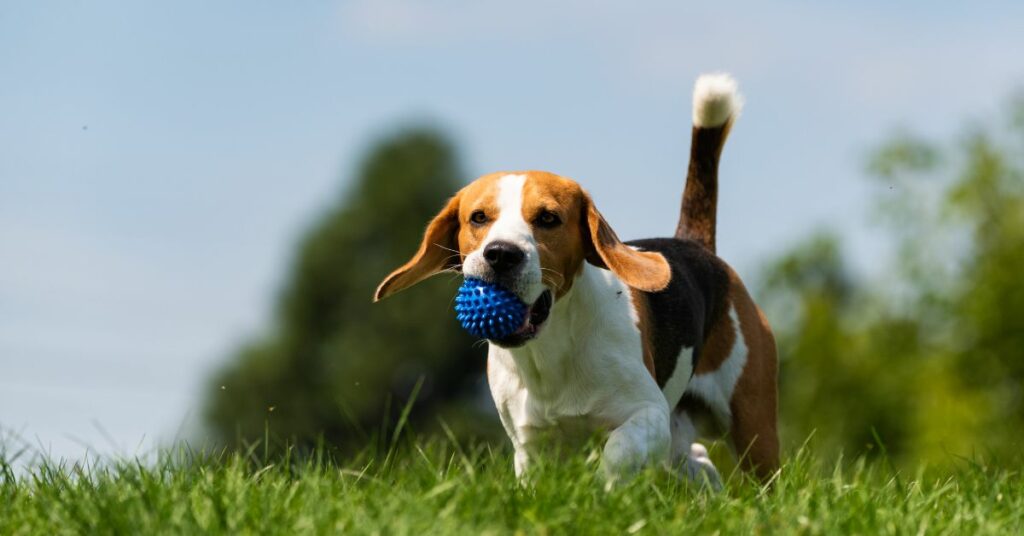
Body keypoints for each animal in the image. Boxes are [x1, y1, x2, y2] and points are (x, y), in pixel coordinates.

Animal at [374, 72, 774, 485]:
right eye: (479, 217)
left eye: (548, 218)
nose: (501, 254)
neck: (549, 352)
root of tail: (695, 244)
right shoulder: (529, 444)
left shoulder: (648, 414)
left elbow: (617, 451)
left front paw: (606, 487)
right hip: (683, 438)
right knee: (699, 459)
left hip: (750, 422)